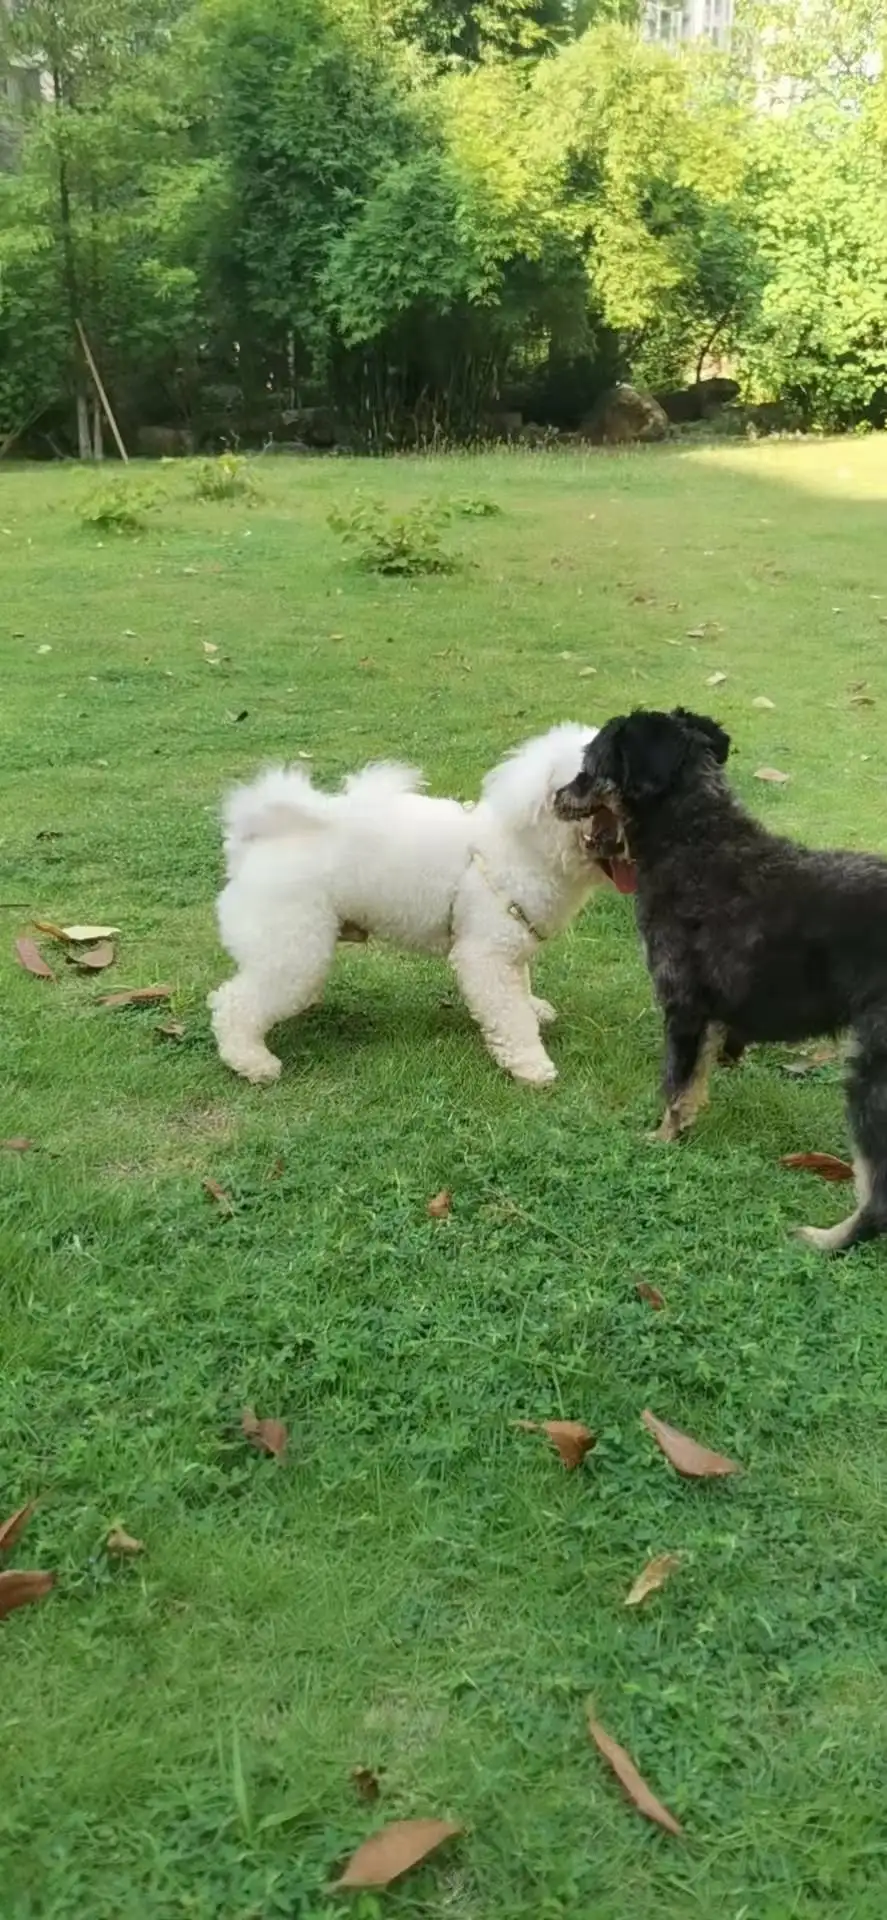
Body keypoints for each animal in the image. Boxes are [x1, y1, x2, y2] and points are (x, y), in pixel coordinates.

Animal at [209, 721, 602, 1090]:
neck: (528, 847)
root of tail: (257, 840)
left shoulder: (511, 945)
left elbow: (520, 988)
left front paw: (534, 1009)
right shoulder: (484, 954)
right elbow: (509, 1015)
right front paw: (531, 1064)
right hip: (293, 945)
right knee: (233, 1003)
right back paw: (252, 1061)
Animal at [552, 714, 887, 1251]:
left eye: (590, 765)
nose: (557, 796)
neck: (696, 843)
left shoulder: (684, 1008)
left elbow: (675, 1086)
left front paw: (661, 1141)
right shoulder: (708, 1020)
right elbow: (694, 1085)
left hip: (871, 1073)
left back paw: (824, 1239)